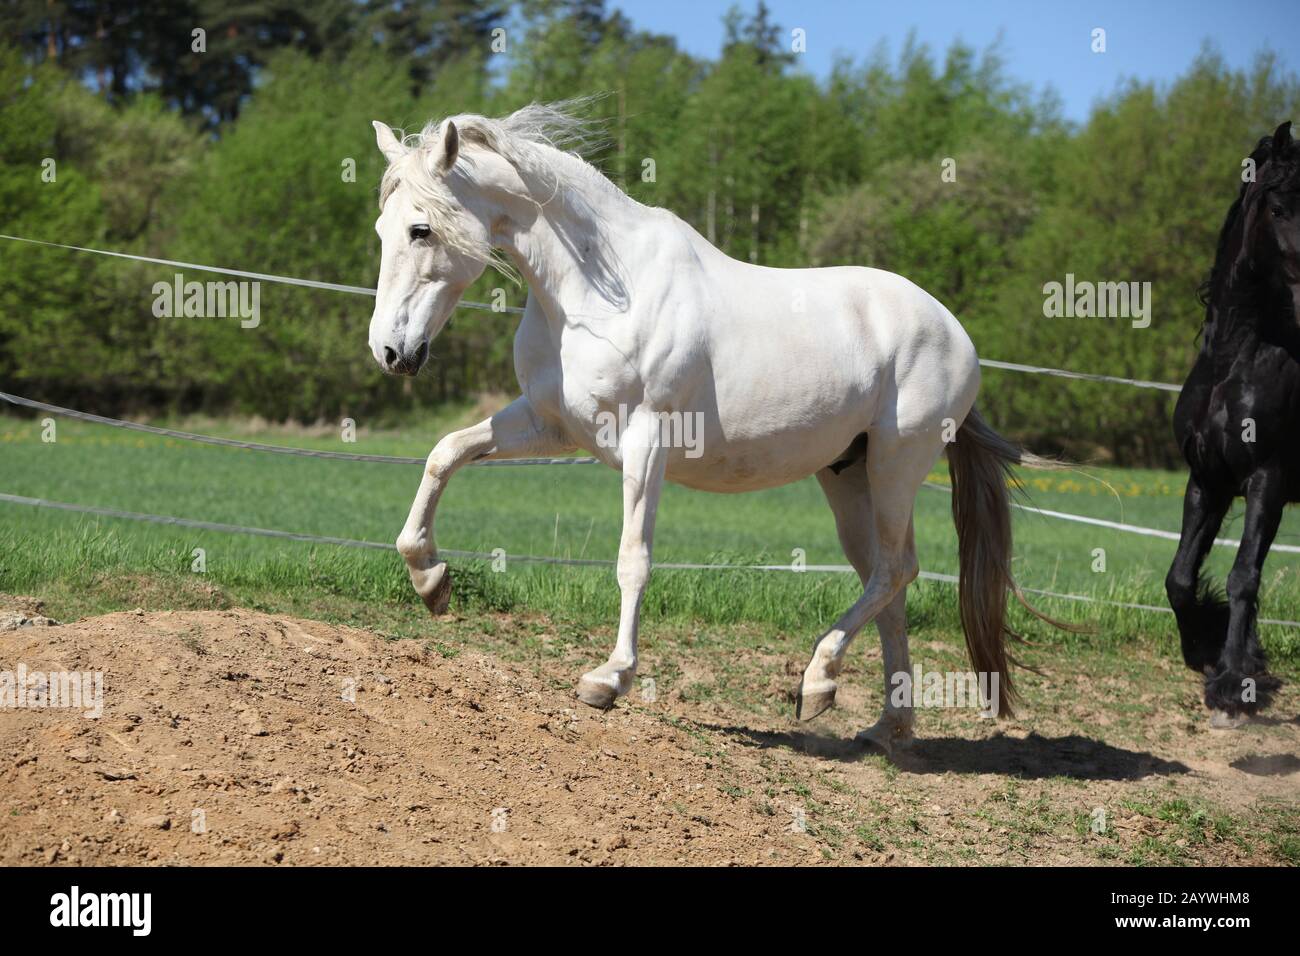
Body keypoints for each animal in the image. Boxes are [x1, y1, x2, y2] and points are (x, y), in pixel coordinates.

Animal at [366, 102, 1058, 750]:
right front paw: (430, 579)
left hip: (896, 466)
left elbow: (633, 559)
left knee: (897, 571)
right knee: (886, 583)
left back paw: (818, 679)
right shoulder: (549, 423)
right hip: (848, 474)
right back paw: (881, 722)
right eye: (382, 229)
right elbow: (446, 452)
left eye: (420, 229)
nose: (391, 352)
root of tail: (955, 332)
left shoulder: (646, 443)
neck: (599, 294)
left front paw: (608, 678)